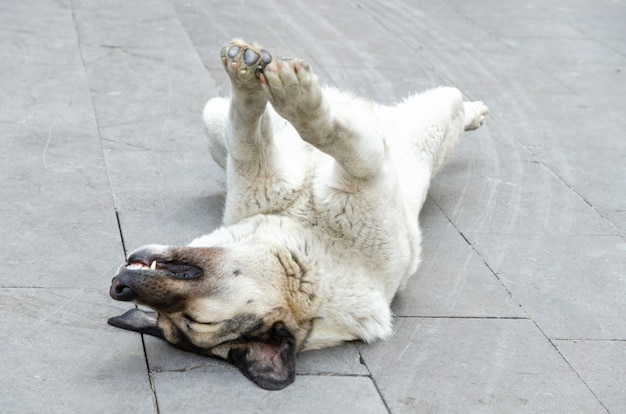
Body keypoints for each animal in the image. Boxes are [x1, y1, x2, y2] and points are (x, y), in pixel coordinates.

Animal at [107, 37, 488, 390]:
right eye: (181, 319)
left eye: (197, 320)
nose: (118, 287)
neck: (302, 245)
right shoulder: (283, 167)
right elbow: (260, 132)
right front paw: (260, 83)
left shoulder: (357, 172)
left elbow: (305, 132)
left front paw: (278, 90)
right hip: (215, 120)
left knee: (452, 103)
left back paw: (474, 112)